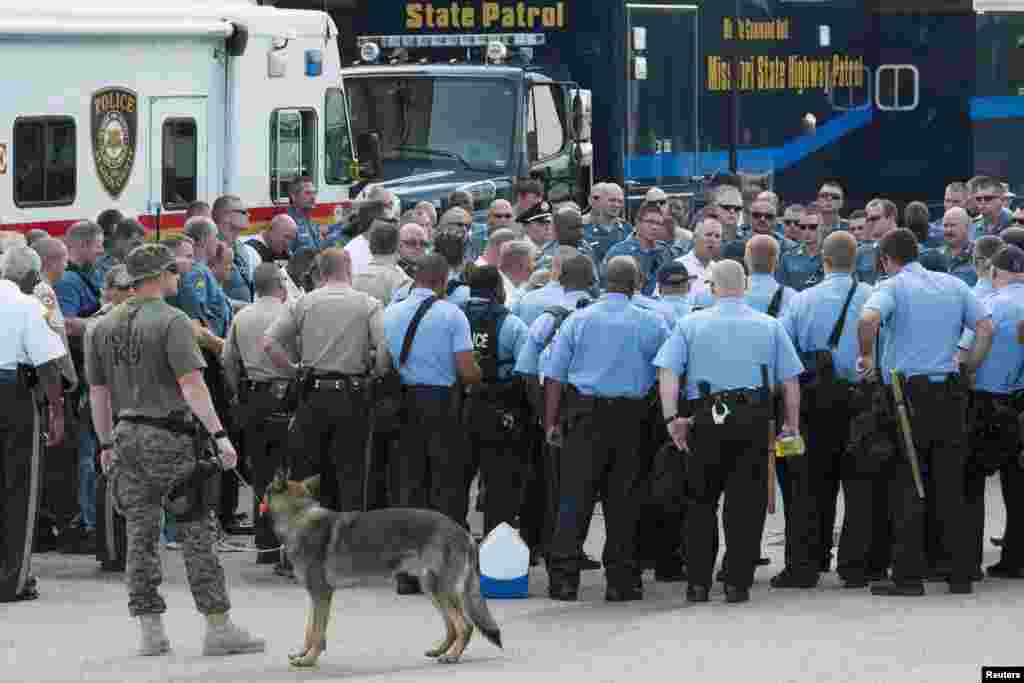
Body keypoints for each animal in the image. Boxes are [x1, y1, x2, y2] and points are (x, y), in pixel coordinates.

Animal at [262, 471, 501, 667]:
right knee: (452, 626)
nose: (260, 502)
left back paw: (452, 657)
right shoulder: (315, 596)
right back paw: (440, 651)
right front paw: (302, 654)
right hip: (433, 590)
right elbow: (309, 630)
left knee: (465, 626)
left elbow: (318, 633)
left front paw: (309, 660)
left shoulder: (322, 594)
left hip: (440, 590)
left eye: (266, 491)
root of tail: (465, 533)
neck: (299, 516)